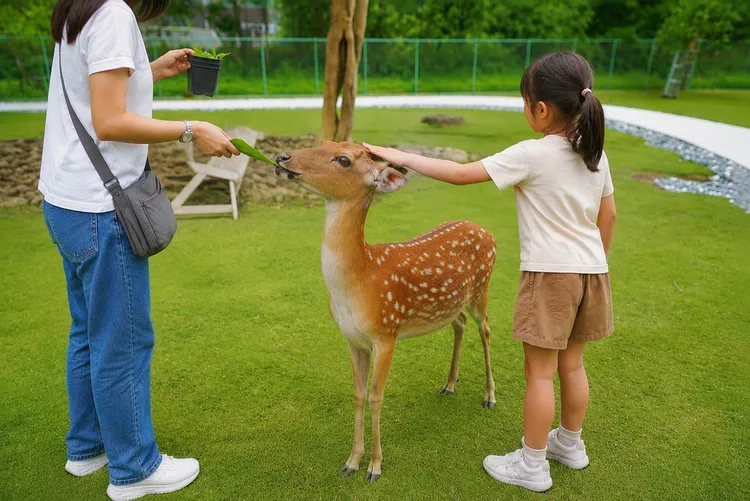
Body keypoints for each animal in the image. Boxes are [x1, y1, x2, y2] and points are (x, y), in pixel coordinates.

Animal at [274, 142, 497, 483]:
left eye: (343, 160)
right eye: (325, 143)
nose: (283, 157)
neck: (359, 282)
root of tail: (489, 233)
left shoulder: (386, 332)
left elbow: (376, 397)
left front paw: (375, 467)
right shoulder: (353, 339)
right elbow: (358, 394)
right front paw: (351, 461)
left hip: (481, 290)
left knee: (485, 330)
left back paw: (489, 396)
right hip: (452, 303)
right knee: (459, 324)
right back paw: (449, 385)